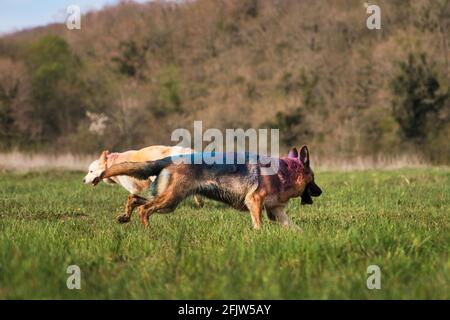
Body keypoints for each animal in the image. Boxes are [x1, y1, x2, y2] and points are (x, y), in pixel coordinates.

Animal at [94, 145, 320, 230]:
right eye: (314, 179)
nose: (321, 191)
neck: (285, 173)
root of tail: (170, 158)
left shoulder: (276, 211)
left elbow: (293, 226)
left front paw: (302, 236)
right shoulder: (254, 201)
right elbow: (258, 224)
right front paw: (259, 235)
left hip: (169, 200)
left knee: (134, 199)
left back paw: (125, 217)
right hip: (171, 199)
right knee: (144, 208)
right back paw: (148, 230)